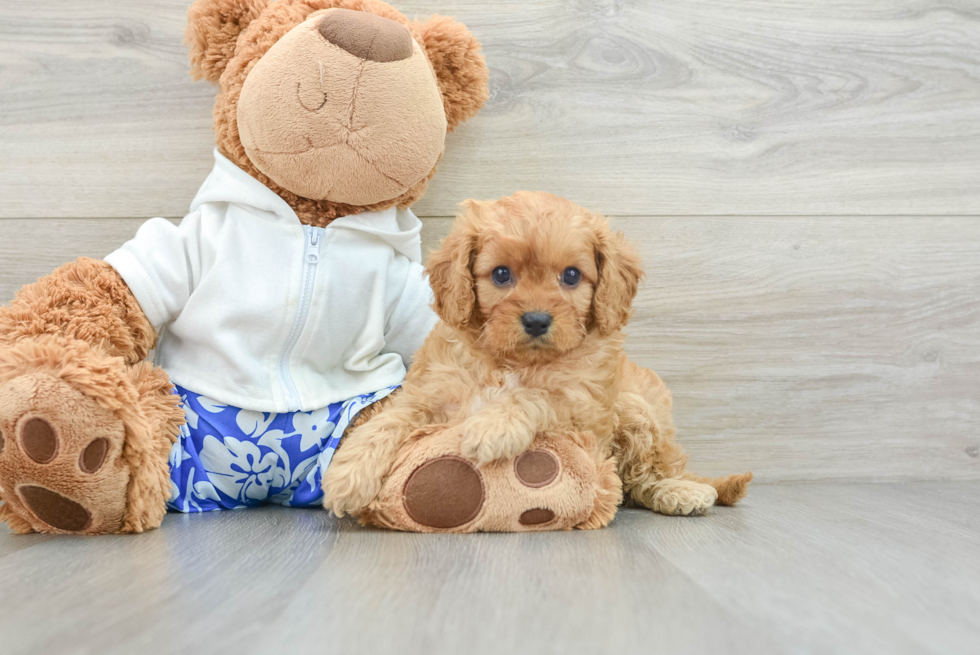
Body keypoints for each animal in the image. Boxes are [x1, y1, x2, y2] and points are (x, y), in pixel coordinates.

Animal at [322, 191, 752, 524]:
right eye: (500, 274)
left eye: (572, 276)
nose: (536, 320)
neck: (511, 362)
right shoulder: (429, 393)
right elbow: (389, 420)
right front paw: (348, 474)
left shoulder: (582, 410)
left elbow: (536, 395)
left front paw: (492, 426)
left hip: (637, 410)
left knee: (645, 478)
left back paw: (679, 492)